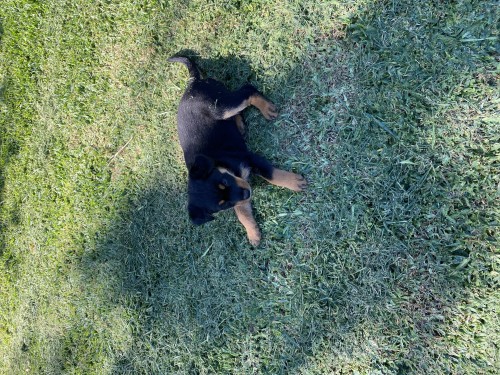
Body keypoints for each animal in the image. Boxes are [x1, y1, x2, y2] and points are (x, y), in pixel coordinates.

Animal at [170, 57, 306, 247]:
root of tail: (193, 82)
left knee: (247, 90)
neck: (222, 164)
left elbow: (272, 174)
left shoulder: (249, 158)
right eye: (223, 205)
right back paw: (240, 125)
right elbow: (242, 214)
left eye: (224, 181)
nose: (248, 193)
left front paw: (295, 183)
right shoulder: (239, 197)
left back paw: (267, 109)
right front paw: (253, 233)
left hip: (220, 106)